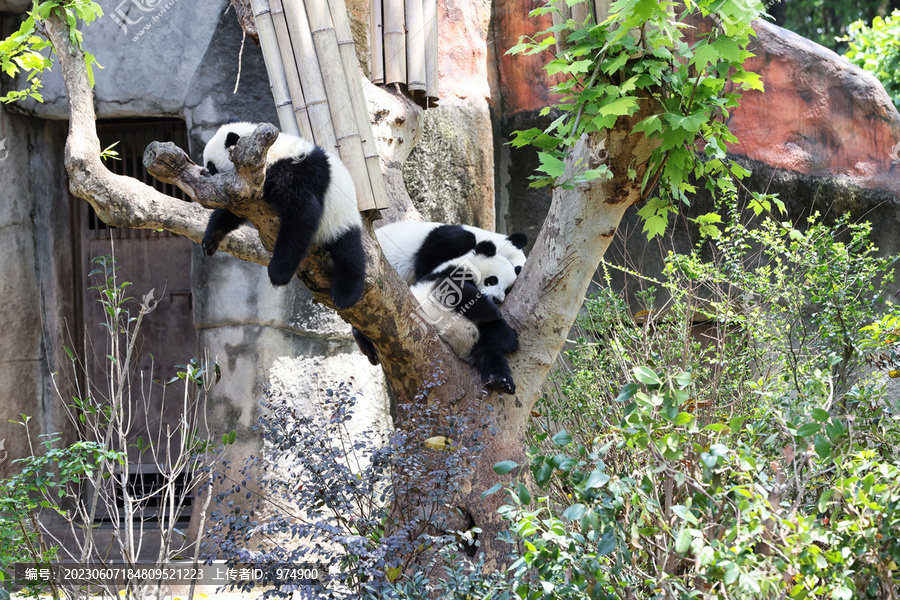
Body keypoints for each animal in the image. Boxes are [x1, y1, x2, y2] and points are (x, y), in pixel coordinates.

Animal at [202, 122, 364, 310]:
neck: (268, 152)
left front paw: (278, 274)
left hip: (340, 217)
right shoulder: (248, 190)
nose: (207, 175)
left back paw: (345, 295)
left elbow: (302, 214)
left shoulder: (291, 172)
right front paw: (210, 241)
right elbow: (230, 212)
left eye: (211, 166)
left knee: (348, 251)